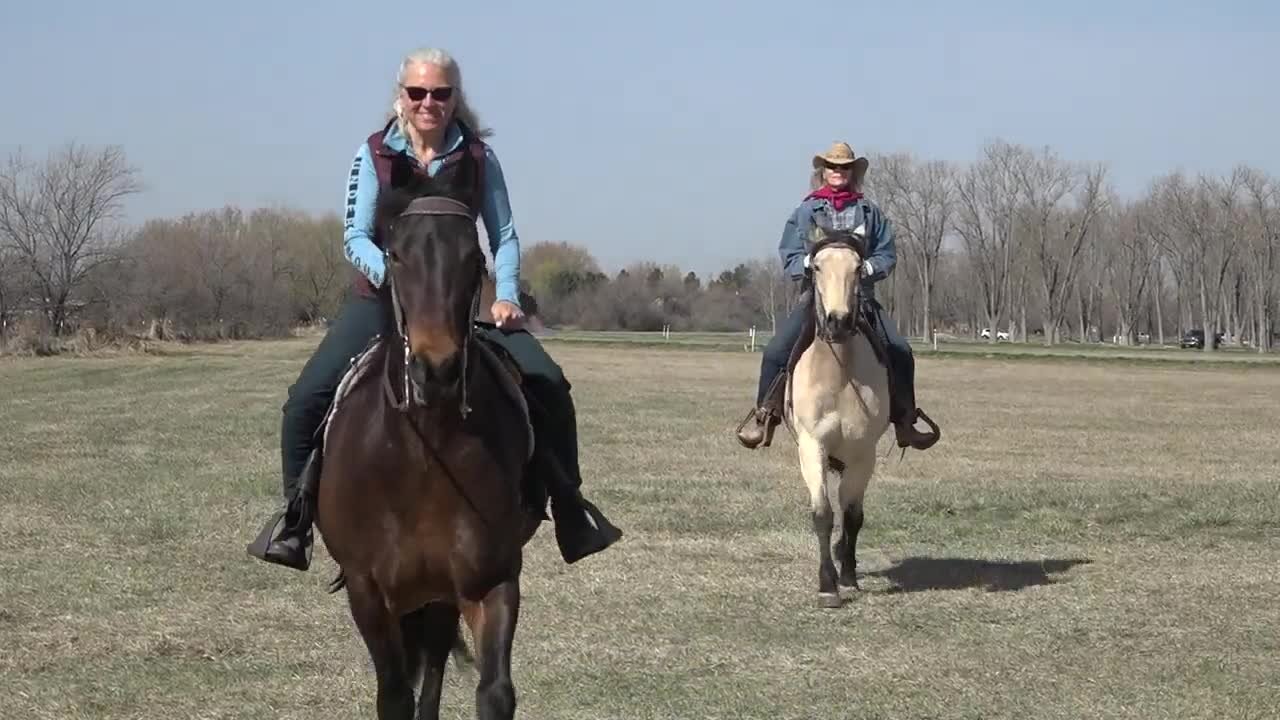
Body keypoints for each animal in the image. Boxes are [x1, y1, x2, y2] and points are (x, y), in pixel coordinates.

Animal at [316, 170, 545, 712]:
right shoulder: (369, 592)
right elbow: (394, 695)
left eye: (475, 258)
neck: (426, 454)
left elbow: (494, 692)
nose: (435, 371)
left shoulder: (492, 580)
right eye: (396, 255)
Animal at [783, 222, 896, 604]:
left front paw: (846, 575)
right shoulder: (811, 446)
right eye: (816, 267)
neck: (839, 374)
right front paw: (827, 585)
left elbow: (852, 515)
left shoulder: (864, 452)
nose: (838, 322)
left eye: (859, 268)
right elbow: (823, 513)